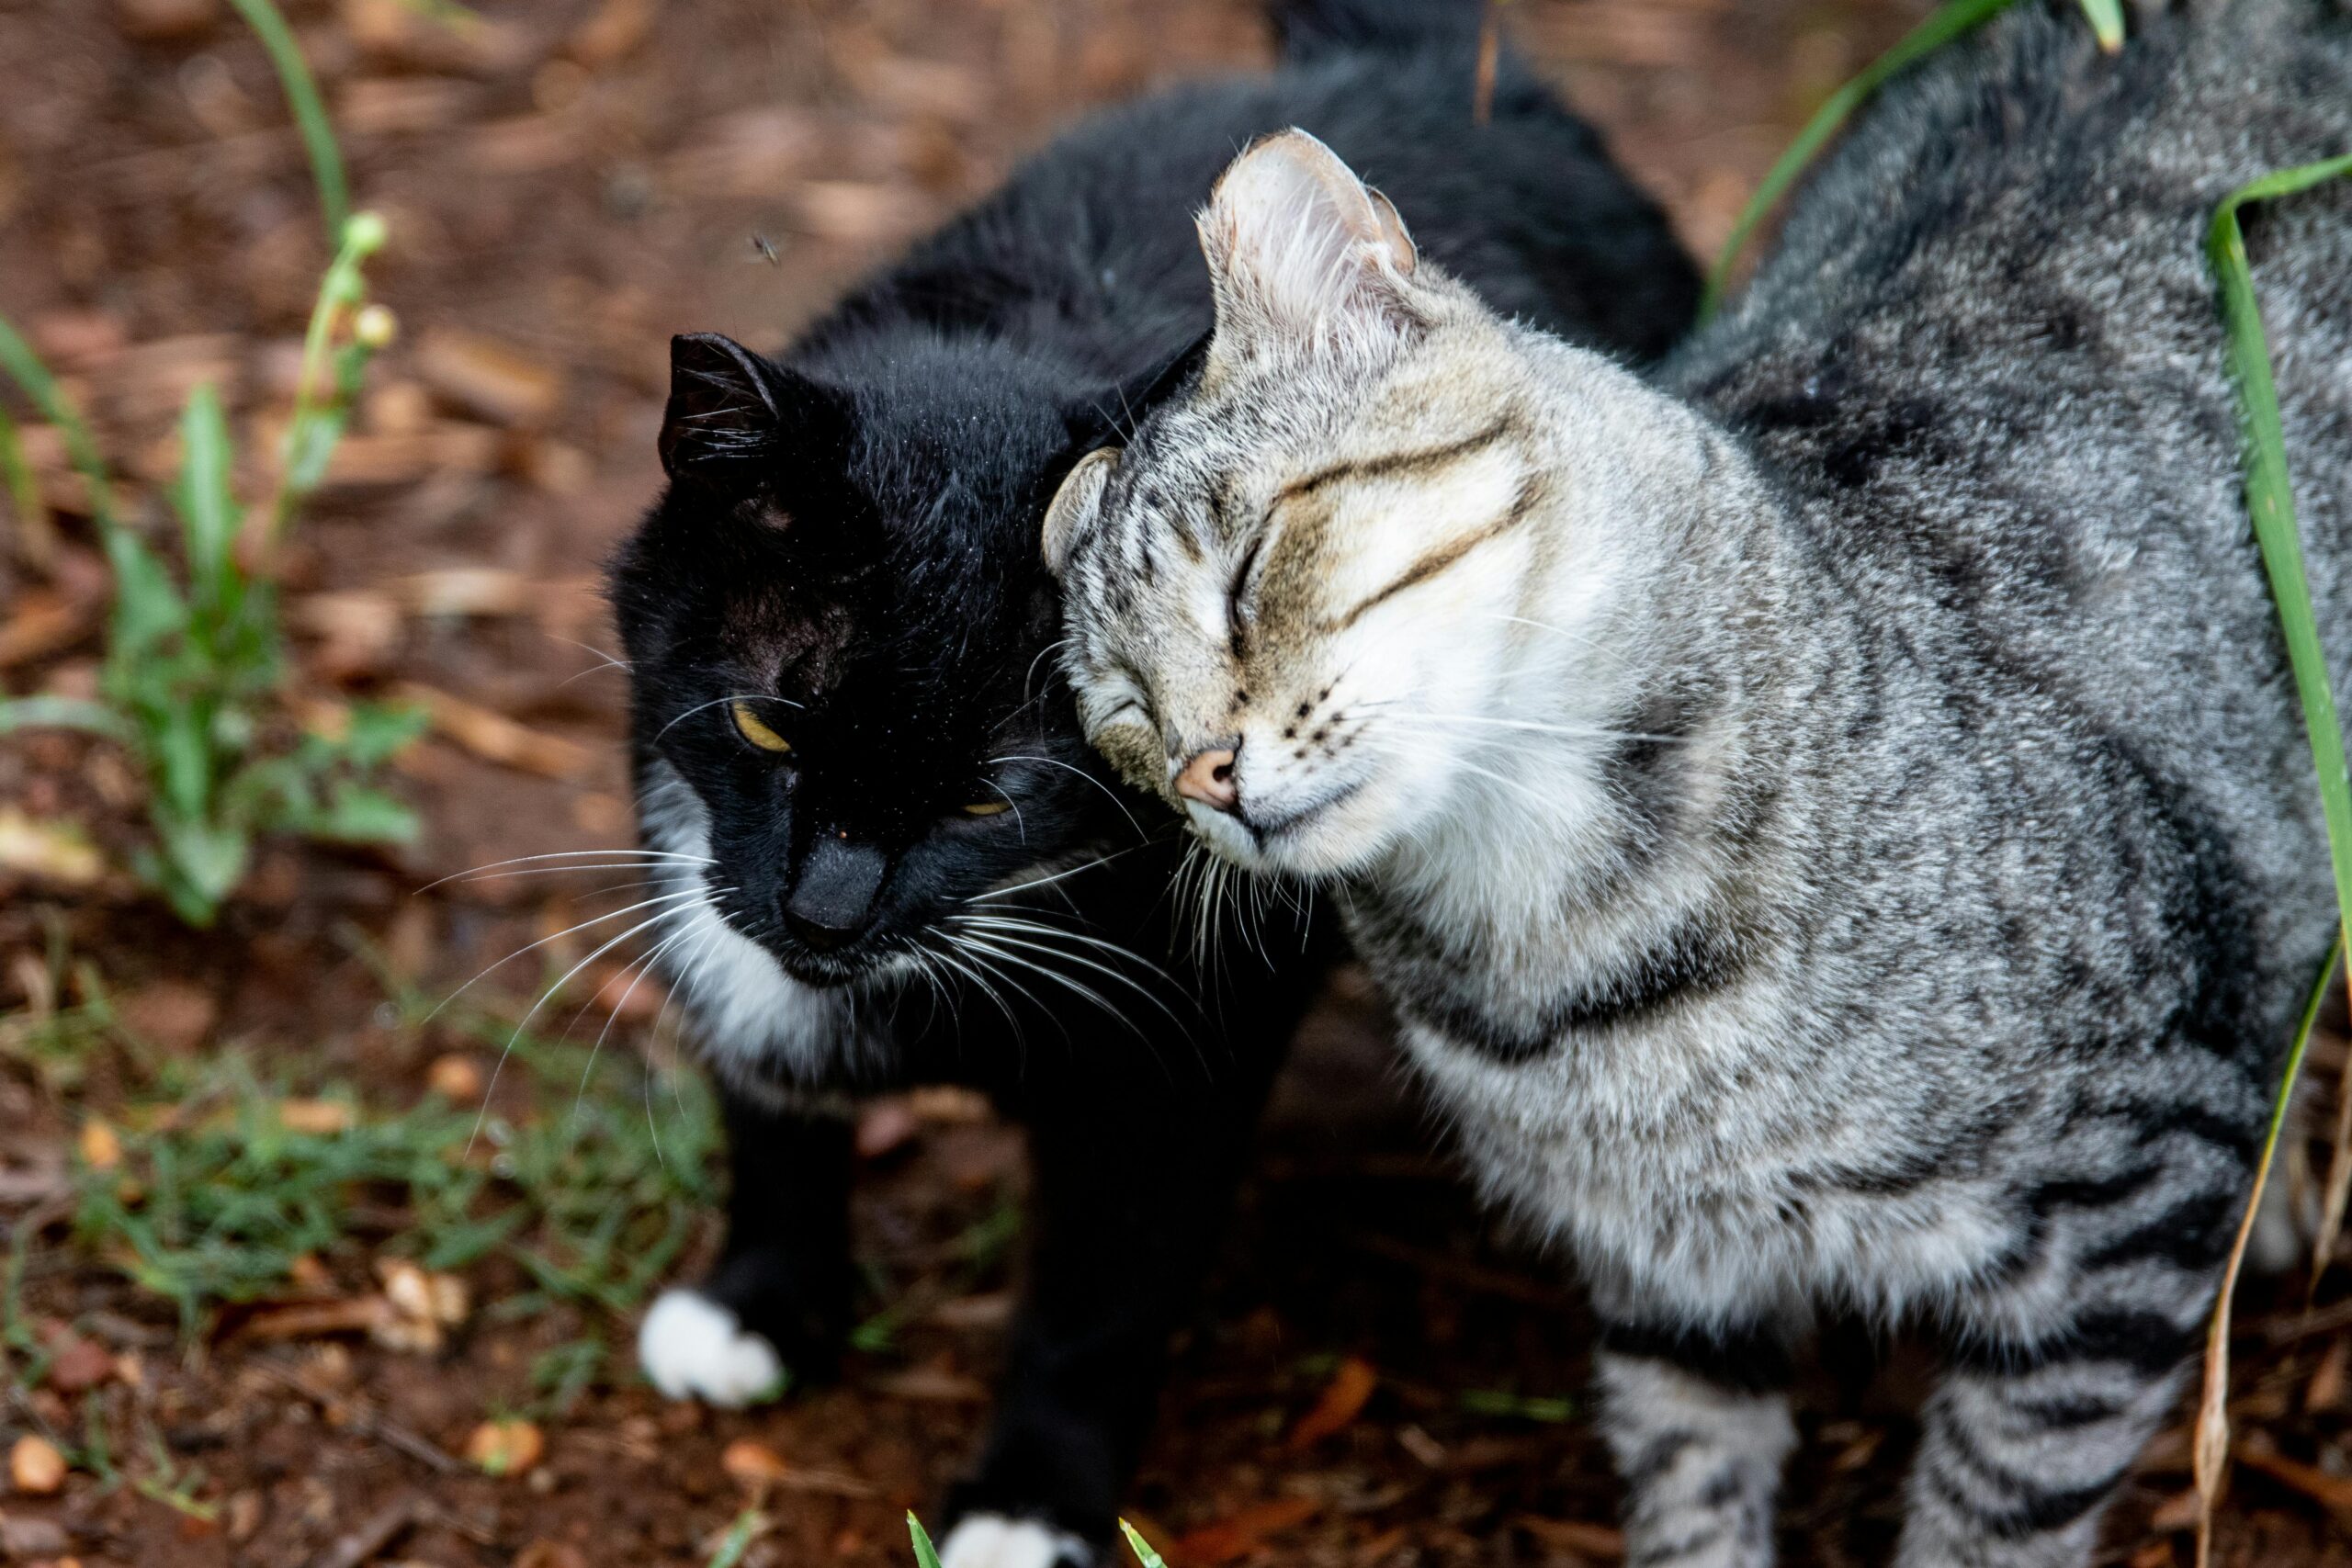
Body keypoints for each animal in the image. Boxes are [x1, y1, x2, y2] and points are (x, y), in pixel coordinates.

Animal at [616, 6, 1702, 1561]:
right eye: (768, 724)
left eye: (994, 792)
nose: (825, 911)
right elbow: (765, 1092)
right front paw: (760, 1301)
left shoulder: (1180, 1046)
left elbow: (1099, 1285)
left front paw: (1029, 1499)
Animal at [1044, 6, 2352, 1561]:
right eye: (1122, 709)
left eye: (1247, 574)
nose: (1201, 769)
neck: (1555, 948)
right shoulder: (1668, 1277)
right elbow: (1690, 1474)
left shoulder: (2123, 1202)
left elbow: (1996, 1503)